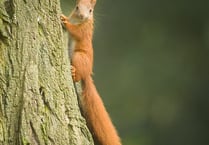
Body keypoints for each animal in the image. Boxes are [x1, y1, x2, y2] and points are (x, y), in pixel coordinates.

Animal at [60, 0, 121, 145]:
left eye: (91, 10)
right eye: (77, 7)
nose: (83, 16)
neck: (78, 20)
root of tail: (87, 73)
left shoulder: (85, 30)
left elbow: (76, 31)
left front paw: (65, 21)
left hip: (78, 57)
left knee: (77, 77)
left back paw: (73, 72)